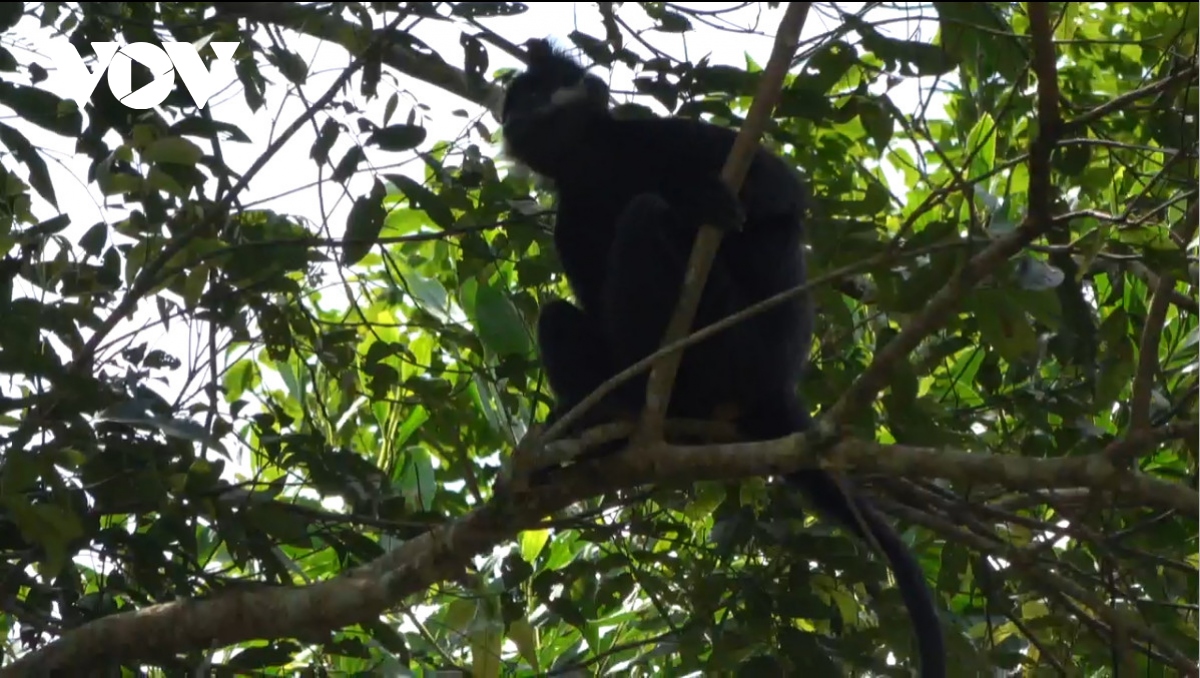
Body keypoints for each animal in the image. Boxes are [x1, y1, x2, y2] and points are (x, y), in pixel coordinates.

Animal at [499, 39, 945, 672]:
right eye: (514, 104)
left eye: (537, 93)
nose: (514, 119)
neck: (594, 163)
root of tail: (775, 387)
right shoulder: (570, 213)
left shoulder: (658, 134)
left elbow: (782, 187)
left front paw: (702, 201)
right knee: (561, 315)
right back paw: (615, 417)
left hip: (734, 343)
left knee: (650, 217)